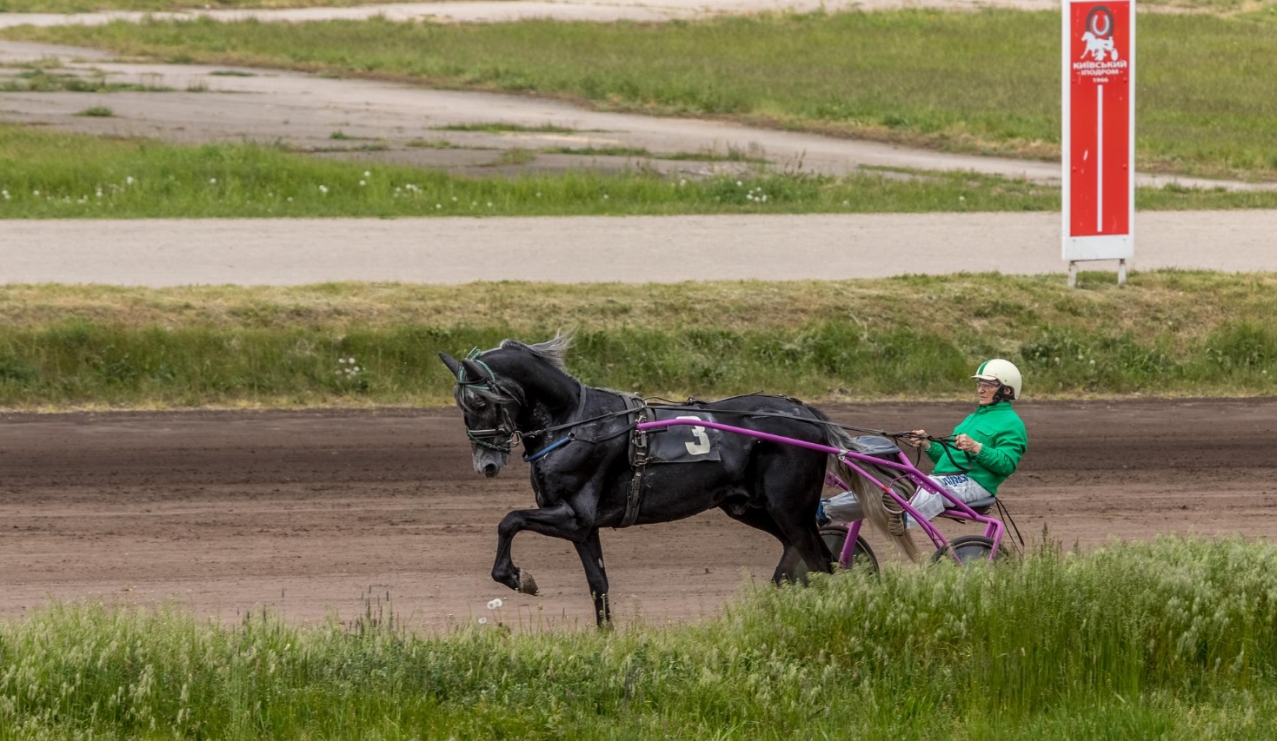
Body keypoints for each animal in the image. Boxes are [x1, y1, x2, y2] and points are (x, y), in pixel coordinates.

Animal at [439, 337, 888, 626]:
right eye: (460, 404)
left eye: (478, 401)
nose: (486, 465)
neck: (576, 423)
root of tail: (806, 413)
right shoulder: (583, 528)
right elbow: (598, 584)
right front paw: (608, 640)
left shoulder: (573, 515)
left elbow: (509, 520)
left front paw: (518, 578)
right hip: (750, 507)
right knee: (798, 555)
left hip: (788, 507)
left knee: (823, 564)